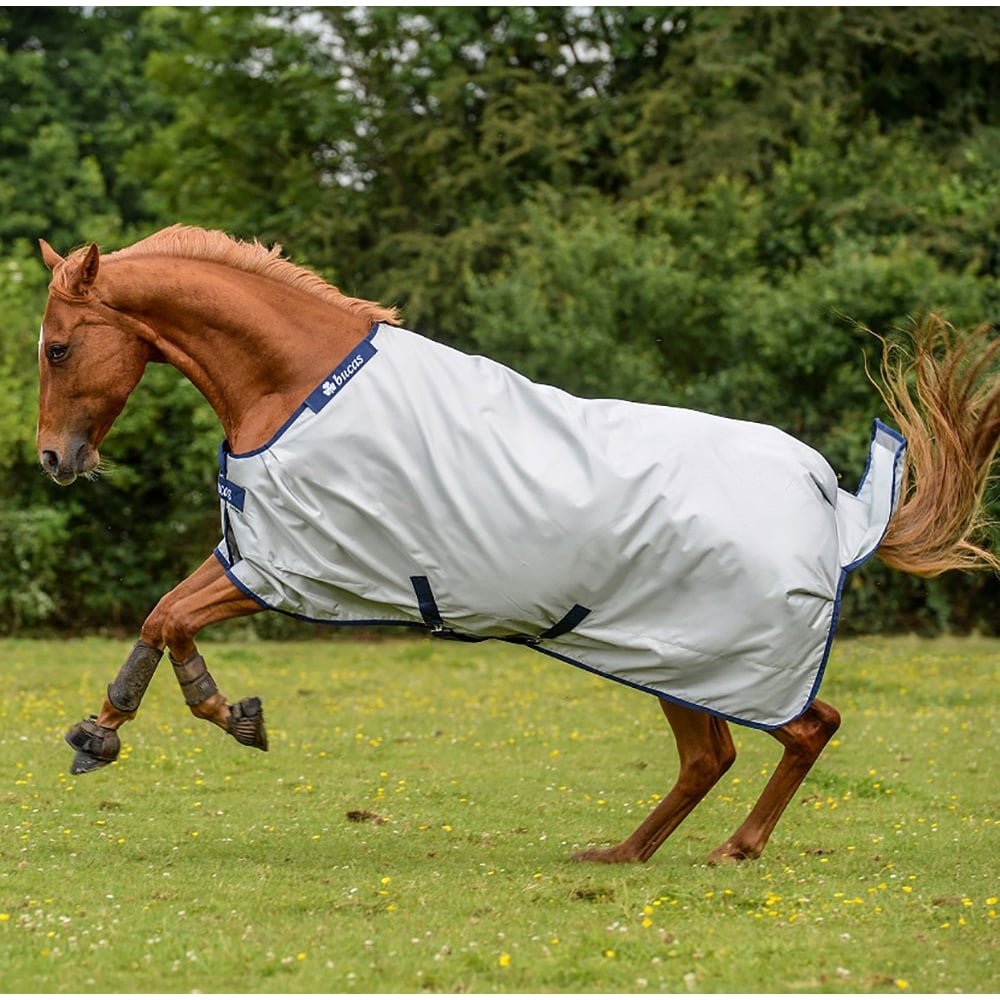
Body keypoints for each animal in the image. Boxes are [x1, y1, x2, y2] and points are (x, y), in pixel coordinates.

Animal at [36, 226, 1000, 865]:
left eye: (55, 349)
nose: (53, 459)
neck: (296, 385)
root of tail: (830, 502)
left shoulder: (284, 567)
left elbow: (170, 619)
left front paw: (207, 718)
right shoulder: (256, 555)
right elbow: (161, 616)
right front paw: (109, 731)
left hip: (704, 658)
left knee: (803, 729)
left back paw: (734, 849)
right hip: (670, 660)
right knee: (715, 756)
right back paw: (623, 855)